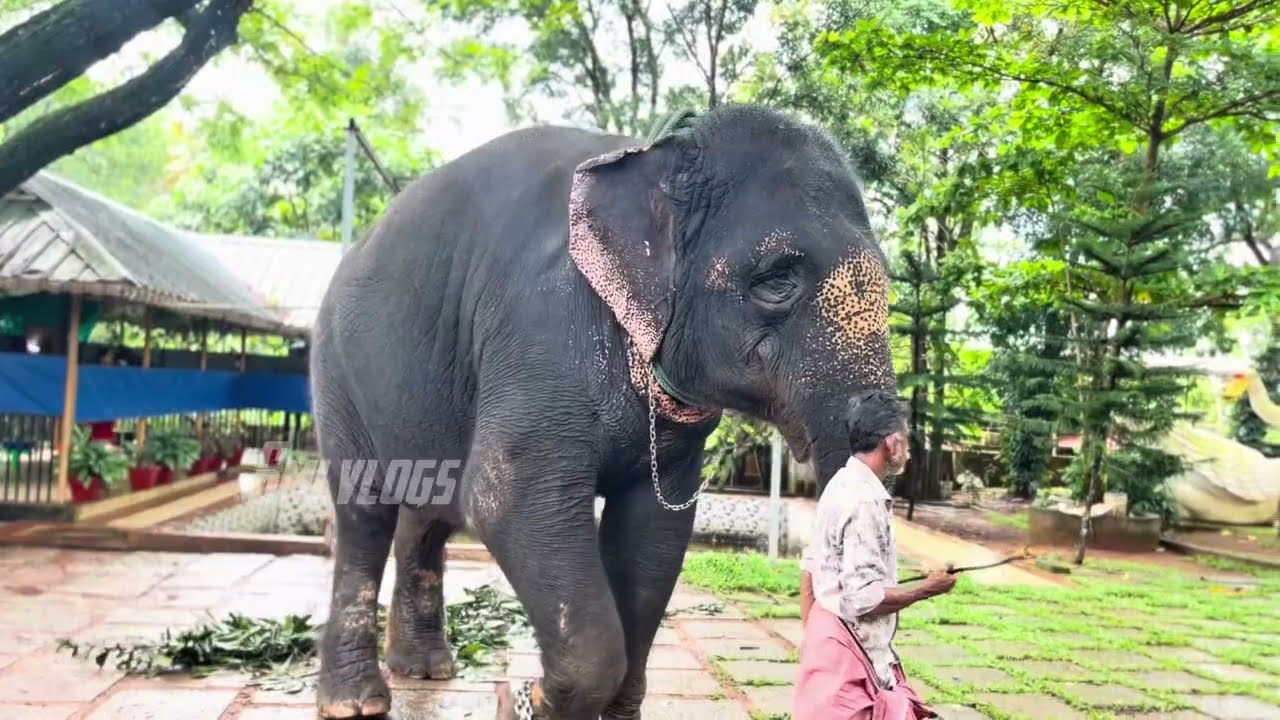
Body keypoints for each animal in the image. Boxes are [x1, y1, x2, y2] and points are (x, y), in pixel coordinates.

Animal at [308, 104, 897, 719]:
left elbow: (652, 530)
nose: (892, 443)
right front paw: (532, 699)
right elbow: (503, 499)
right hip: (337, 374)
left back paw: (425, 669)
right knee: (365, 514)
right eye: (778, 280)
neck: (659, 155)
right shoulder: (541, 329)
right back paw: (355, 702)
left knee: (428, 516)